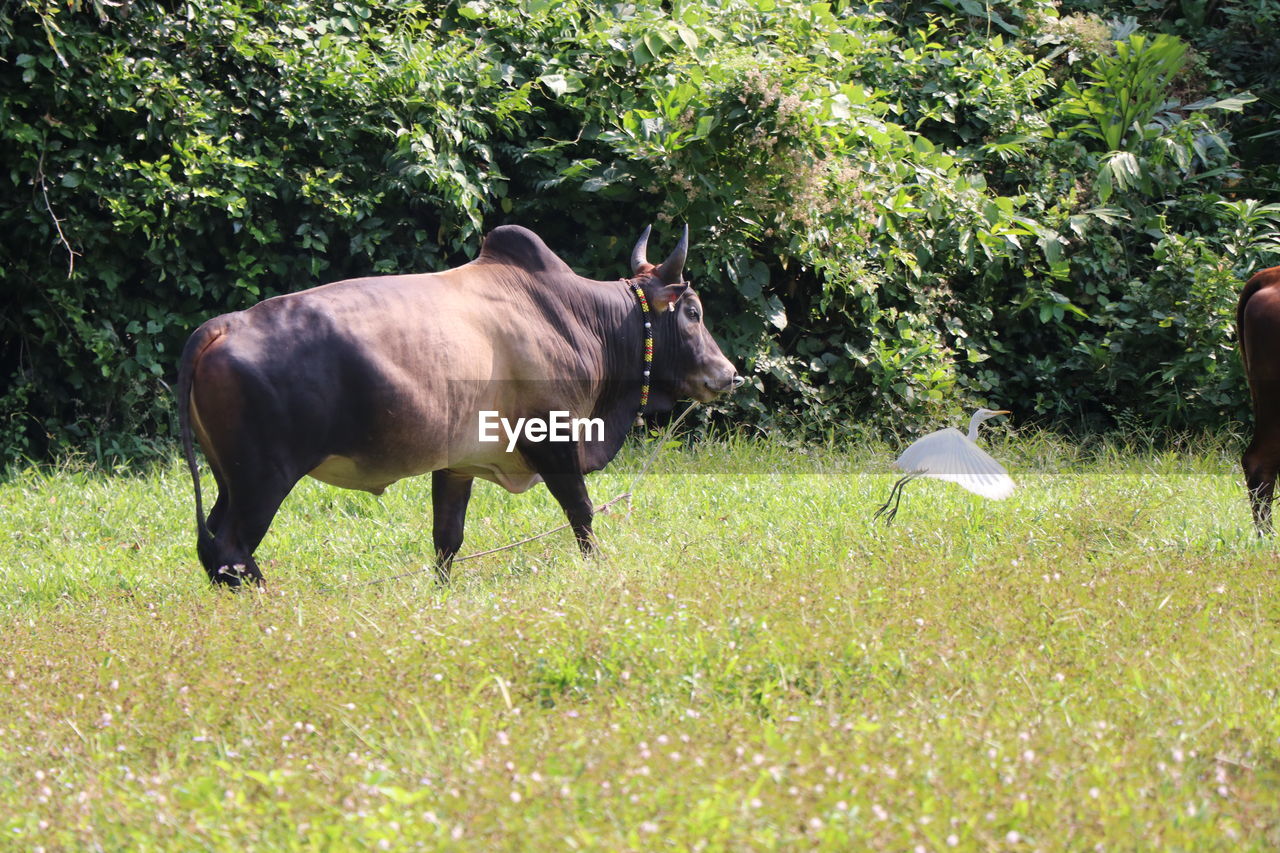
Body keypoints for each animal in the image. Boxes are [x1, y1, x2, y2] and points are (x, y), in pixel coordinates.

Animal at [175, 224, 747, 584]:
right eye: (693, 312)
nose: (728, 373)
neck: (579, 317)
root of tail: (222, 325)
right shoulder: (554, 439)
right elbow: (582, 514)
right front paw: (599, 568)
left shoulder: (457, 463)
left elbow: (446, 538)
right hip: (262, 479)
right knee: (230, 551)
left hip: (231, 479)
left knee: (215, 549)